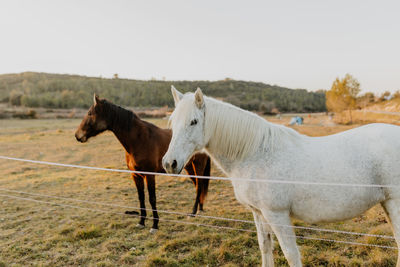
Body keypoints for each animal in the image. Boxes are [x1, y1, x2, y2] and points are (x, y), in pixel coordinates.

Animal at [76, 95, 212, 233]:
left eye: (90, 113)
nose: (77, 135)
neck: (139, 140)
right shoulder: (136, 175)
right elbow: (141, 197)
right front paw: (141, 222)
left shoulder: (150, 175)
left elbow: (152, 198)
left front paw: (155, 225)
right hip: (189, 167)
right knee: (198, 185)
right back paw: (199, 209)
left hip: (198, 166)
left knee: (199, 186)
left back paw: (193, 212)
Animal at [162, 87, 400, 266]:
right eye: (172, 121)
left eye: (193, 121)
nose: (169, 163)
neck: (256, 153)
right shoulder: (259, 213)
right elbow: (265, 247)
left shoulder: (277, 214)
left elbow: (290, 254)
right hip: (387, 204)